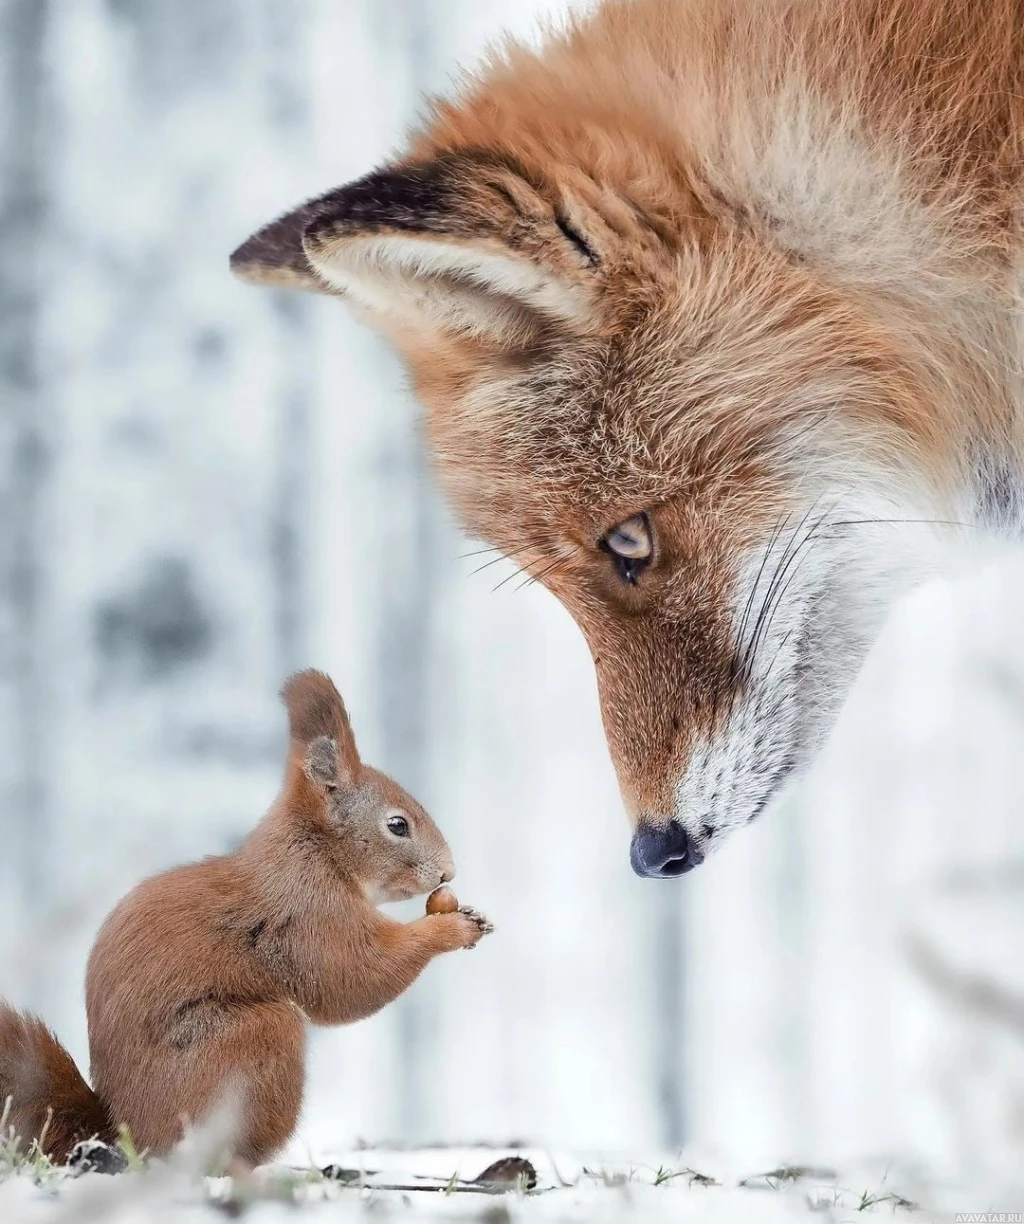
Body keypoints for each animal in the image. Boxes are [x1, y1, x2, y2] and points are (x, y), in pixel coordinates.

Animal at [0, 670, 494, 1165]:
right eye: (397, 825)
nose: (448, 872)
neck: (316, 849)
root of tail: (127, 1134)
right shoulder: (308, 911)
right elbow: (352, 977)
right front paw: (450, 928)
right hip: (252, 1040)